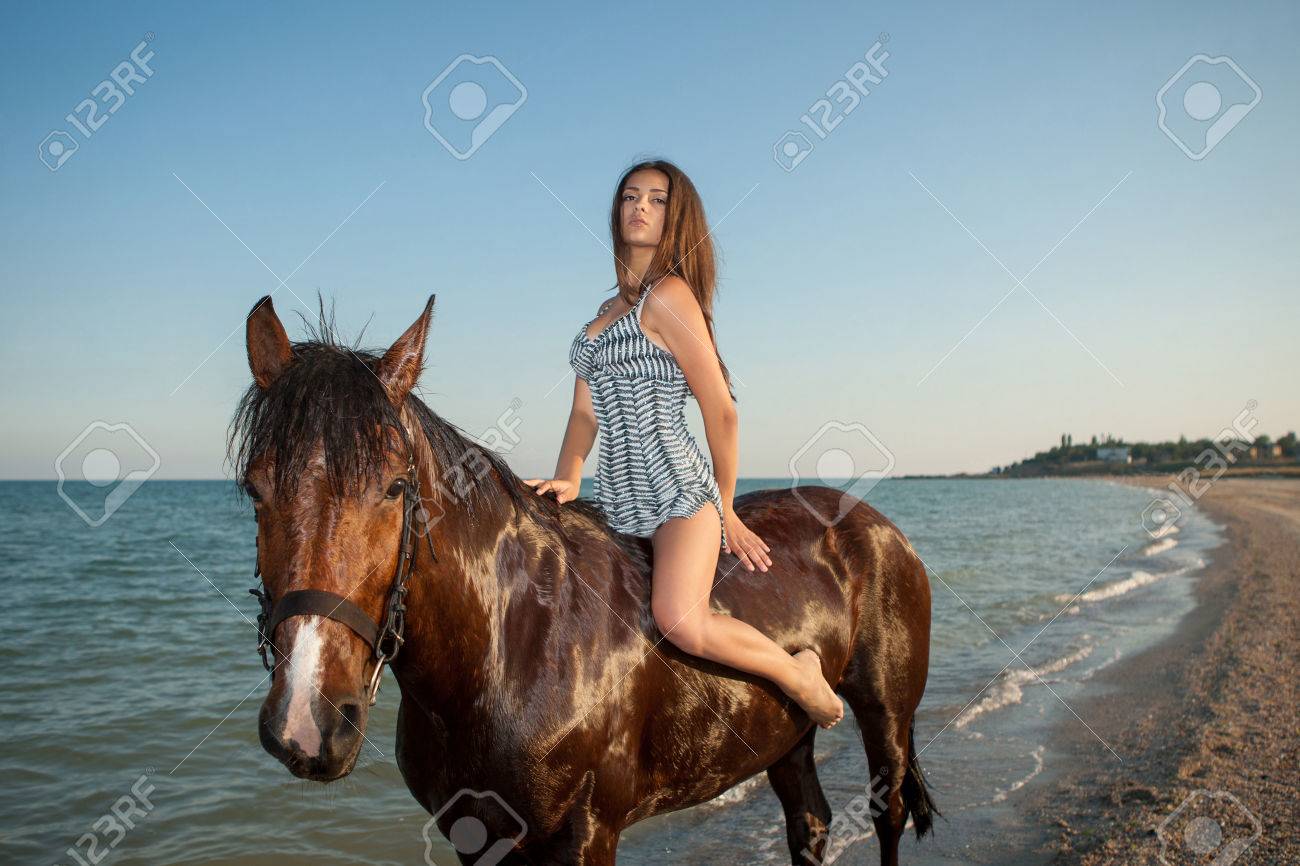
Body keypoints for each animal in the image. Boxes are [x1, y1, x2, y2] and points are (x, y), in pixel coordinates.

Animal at [233, 293, 941, 858]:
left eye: (394, 487)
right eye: (254, 489)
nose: (308, 722)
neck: (511, 646)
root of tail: (877, 526)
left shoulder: (586, 833)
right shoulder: (475, 835)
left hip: (886, 714)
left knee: (888, 813)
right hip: (784, 739)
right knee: (810, 822)